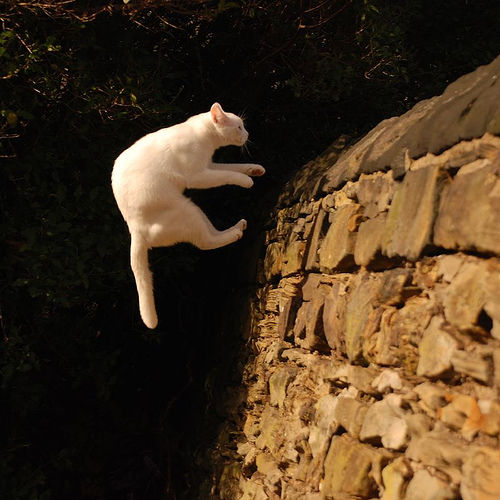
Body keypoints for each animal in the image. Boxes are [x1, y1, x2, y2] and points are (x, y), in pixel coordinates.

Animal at [111, 102, 264, 328]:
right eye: (239, 127)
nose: (247, 134)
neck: (201, 134)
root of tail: (135, 230)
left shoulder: (209, 165)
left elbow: (233, 167)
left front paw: (254, 169)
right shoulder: (198, 175)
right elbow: (228, 174)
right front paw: (247, 181)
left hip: (193, 209)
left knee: (210, 234)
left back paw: (237, 227)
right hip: (186, 210)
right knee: (205, 242)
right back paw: (235, 233)